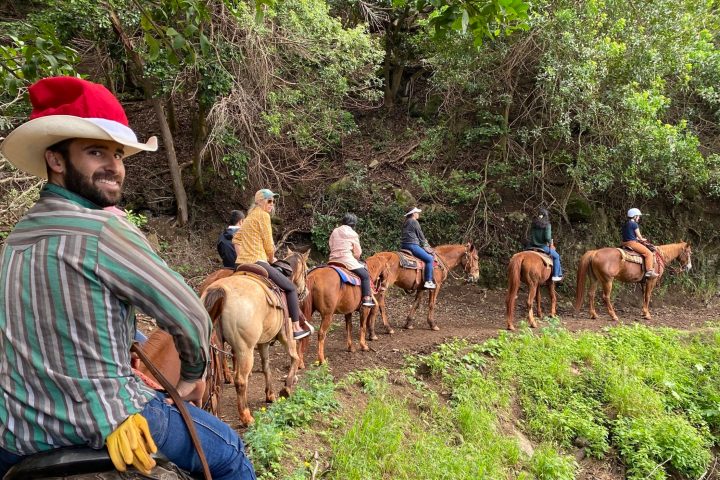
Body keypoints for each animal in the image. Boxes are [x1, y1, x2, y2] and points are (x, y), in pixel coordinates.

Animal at [200, 249, 310, 426]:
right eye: (306, 271)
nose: (306, 292)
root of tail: (220, 289)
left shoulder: (263, 342)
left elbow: (266, 366)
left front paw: (270, 394)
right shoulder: (286, 337)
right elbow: (294, 358)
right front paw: (285, 389)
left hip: (214, 348)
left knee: (212, 379)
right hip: (245, 350)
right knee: (240, 380)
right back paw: (246, 417)